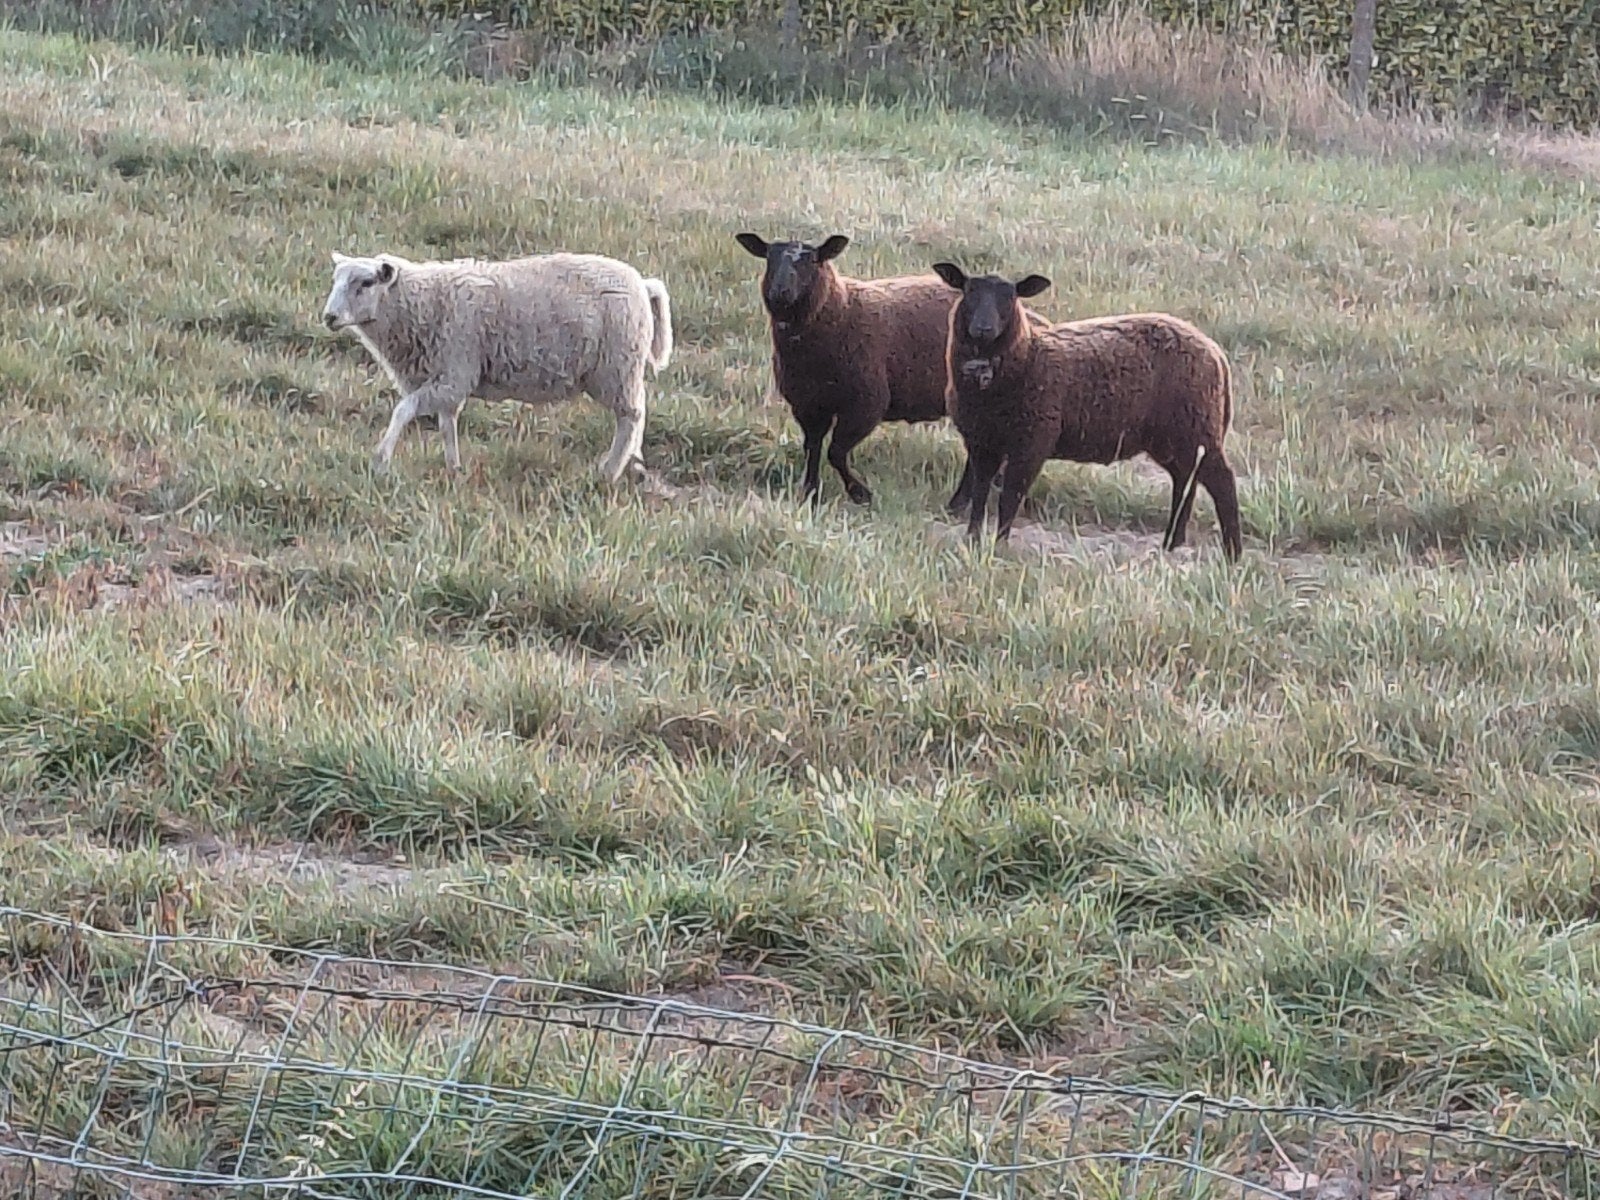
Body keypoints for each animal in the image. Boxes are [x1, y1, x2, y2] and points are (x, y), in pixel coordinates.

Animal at [320, 249, 672, 481]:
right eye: (334, 280)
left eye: (366, 283)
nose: (329, 317)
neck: (421, 302)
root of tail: (643, 284)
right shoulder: (444, 379)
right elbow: (447, 423)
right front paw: (453, 468)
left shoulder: (455, 371)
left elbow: (403, 410)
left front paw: (380, 461)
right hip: (621, 369)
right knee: (636, 412)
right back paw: (631, 462)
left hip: (617, 367)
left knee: (630, 417)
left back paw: (610, 471)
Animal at [734, 231, 985, 510]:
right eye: (769, 258)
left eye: (812, 260)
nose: (780, 292)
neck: (840, 309)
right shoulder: (808, 405)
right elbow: (812, 448)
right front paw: (810, 493)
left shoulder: (865, 404)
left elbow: (835, 453)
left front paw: (861, 494)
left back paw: (960, 502)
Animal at [930, 261, 1243, 562]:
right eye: (970, 291)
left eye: (1010, 296)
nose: (983, 328)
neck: (1027, 356)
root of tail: (1215, 352)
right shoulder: (981, 442)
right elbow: (979, 493)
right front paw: (972, 539)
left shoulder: (1031, 442)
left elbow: (1009, 498)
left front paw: (1000, 545)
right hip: (1173, 437)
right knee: (1186, 479)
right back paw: (1172, 543)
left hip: (1196, 427)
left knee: (1222, 482)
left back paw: (1232, 553)